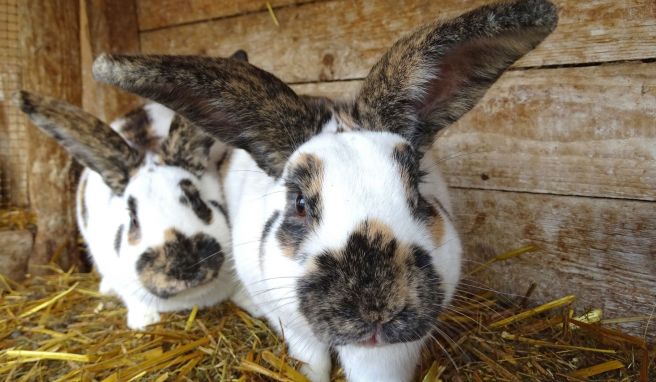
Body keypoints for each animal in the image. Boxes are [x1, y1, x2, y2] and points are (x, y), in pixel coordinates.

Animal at [92, 0, 560, 378]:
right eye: (299, 203)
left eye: (417, 189)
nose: (377, 304)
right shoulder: (293, 324)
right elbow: (310, 362)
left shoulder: (392, 352)